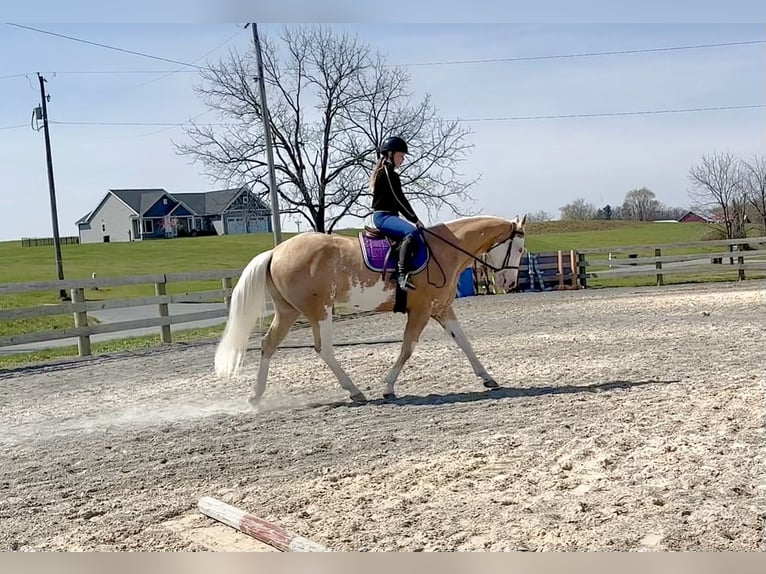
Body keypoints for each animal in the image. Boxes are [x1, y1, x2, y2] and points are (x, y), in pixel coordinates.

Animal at [214, 213, 528, 409]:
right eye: (519, 248)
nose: (509, 283)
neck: (444, 250)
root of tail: (276, 252)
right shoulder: (421, 310)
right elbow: (407, 348)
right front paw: (388, 387)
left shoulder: (442, 309)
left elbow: (464, 342)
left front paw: (488, 378)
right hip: (319, 310)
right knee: (323, 349)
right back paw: (355, 391)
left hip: (289, 312)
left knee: (268, 345)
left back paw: (256, 397)